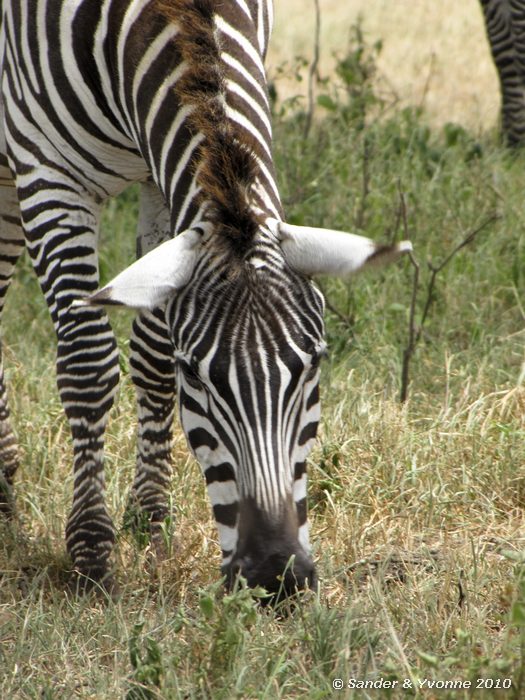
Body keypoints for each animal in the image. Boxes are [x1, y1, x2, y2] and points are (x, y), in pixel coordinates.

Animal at [0, 0, 410, 598]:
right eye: (197, 376)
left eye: (313, 366)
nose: (275, 576)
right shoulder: (48, 167)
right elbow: (87, 361)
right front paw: (91, 552)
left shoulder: (161, 173)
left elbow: (150, 356)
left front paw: (150, 523)